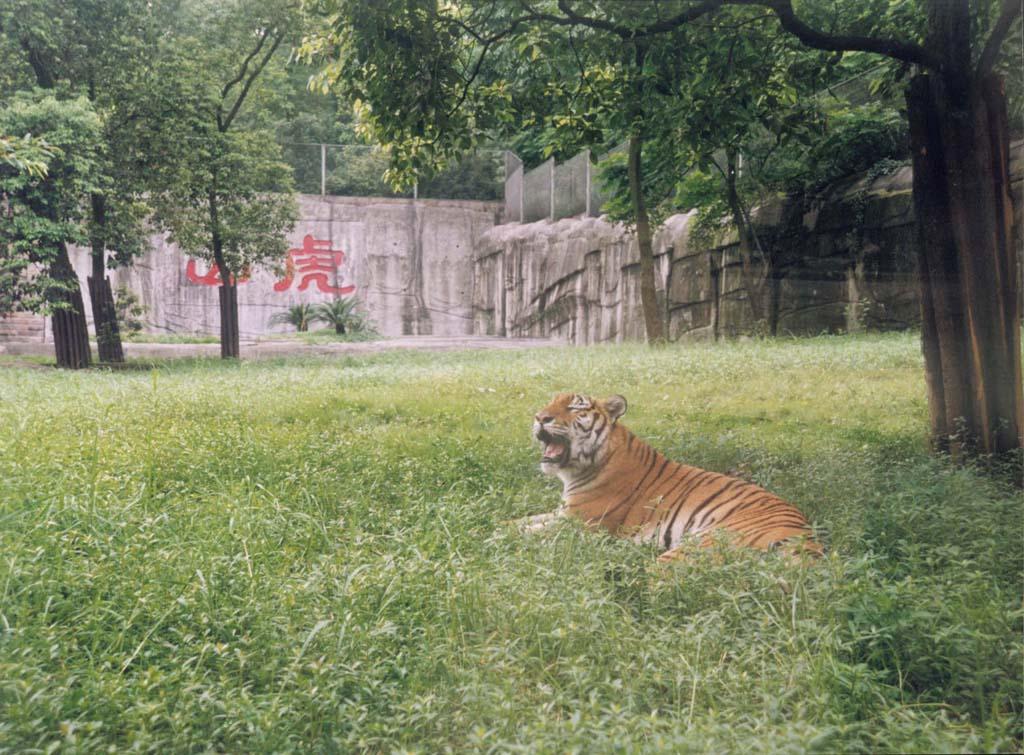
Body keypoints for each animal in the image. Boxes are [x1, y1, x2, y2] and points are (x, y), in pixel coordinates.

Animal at [524, 389, 819, 561]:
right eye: (550, 402)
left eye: (575, 408)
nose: (539, 417)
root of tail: (808, 539)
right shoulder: (562, 513)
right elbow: (523, 521)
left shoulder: (579, 522)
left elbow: (529, 532)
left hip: (703, 542)